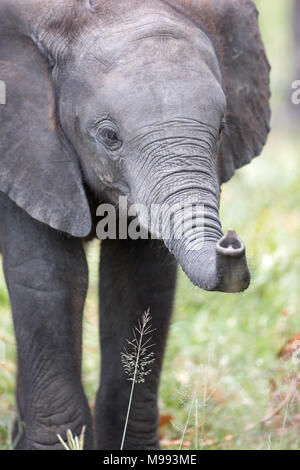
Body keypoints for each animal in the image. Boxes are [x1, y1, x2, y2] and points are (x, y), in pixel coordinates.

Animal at [0, 0, 270, 450]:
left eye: (221, 129)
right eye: (109, 135)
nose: (231, 242)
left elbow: (138, 280)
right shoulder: (21, 142)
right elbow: (49, 277)